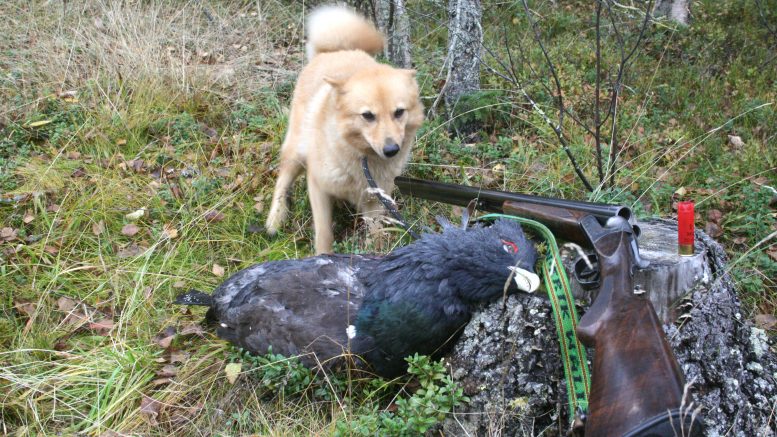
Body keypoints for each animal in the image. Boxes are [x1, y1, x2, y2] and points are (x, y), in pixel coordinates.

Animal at [266, 4, 424, 252]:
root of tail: (335, 50)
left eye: (399, 112)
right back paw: (275, 219)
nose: (391, 150)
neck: (361, 159)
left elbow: (375, 234)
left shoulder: (375, 200)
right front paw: (322, 255)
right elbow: (324, 234)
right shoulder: (318, 187)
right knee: (282, 182)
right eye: (367, 115)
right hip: (296, 153)